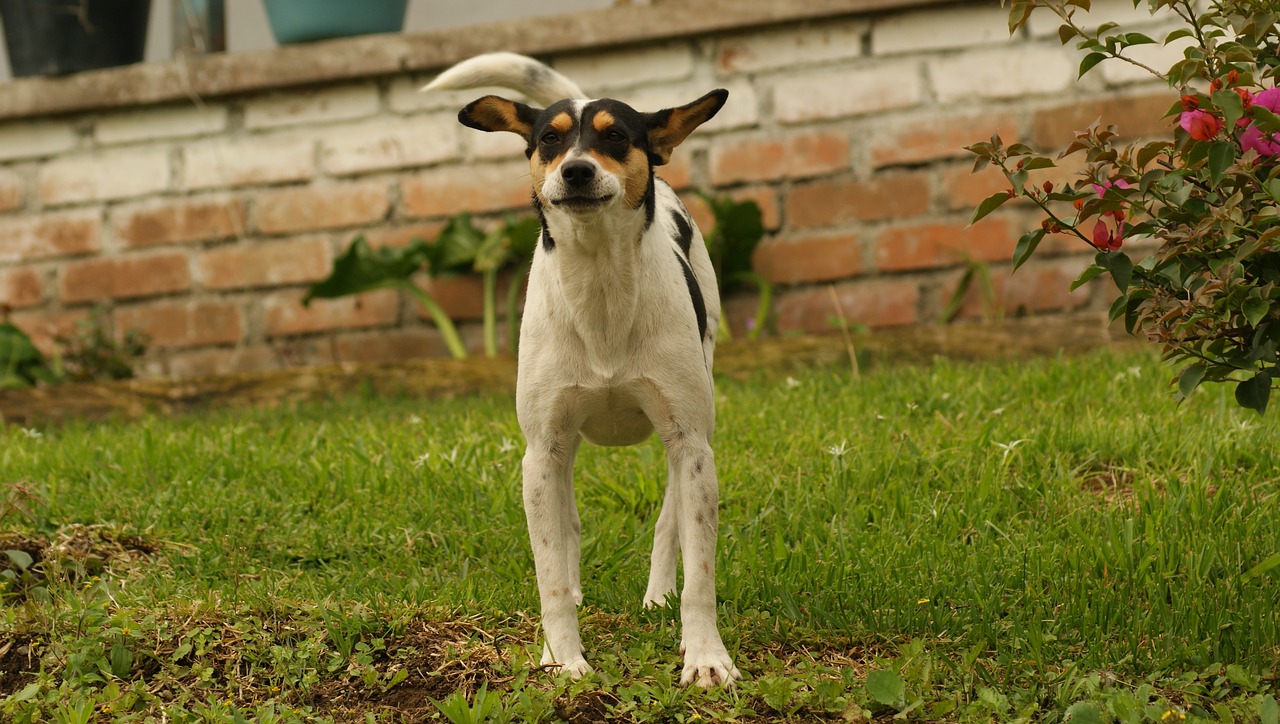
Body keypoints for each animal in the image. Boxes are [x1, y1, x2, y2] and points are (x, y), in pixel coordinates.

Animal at [424, 54, 742, 690]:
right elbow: (549, 569)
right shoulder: (541, 450)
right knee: (566, 529)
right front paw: (562, 659)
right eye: (549, 139)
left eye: (615, 136)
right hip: (559, 451)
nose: (574, 170)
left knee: (670, 519)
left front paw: (705, 657)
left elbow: (700, 571)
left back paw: (658, 596)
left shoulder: (692, 443)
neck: (598, 287)